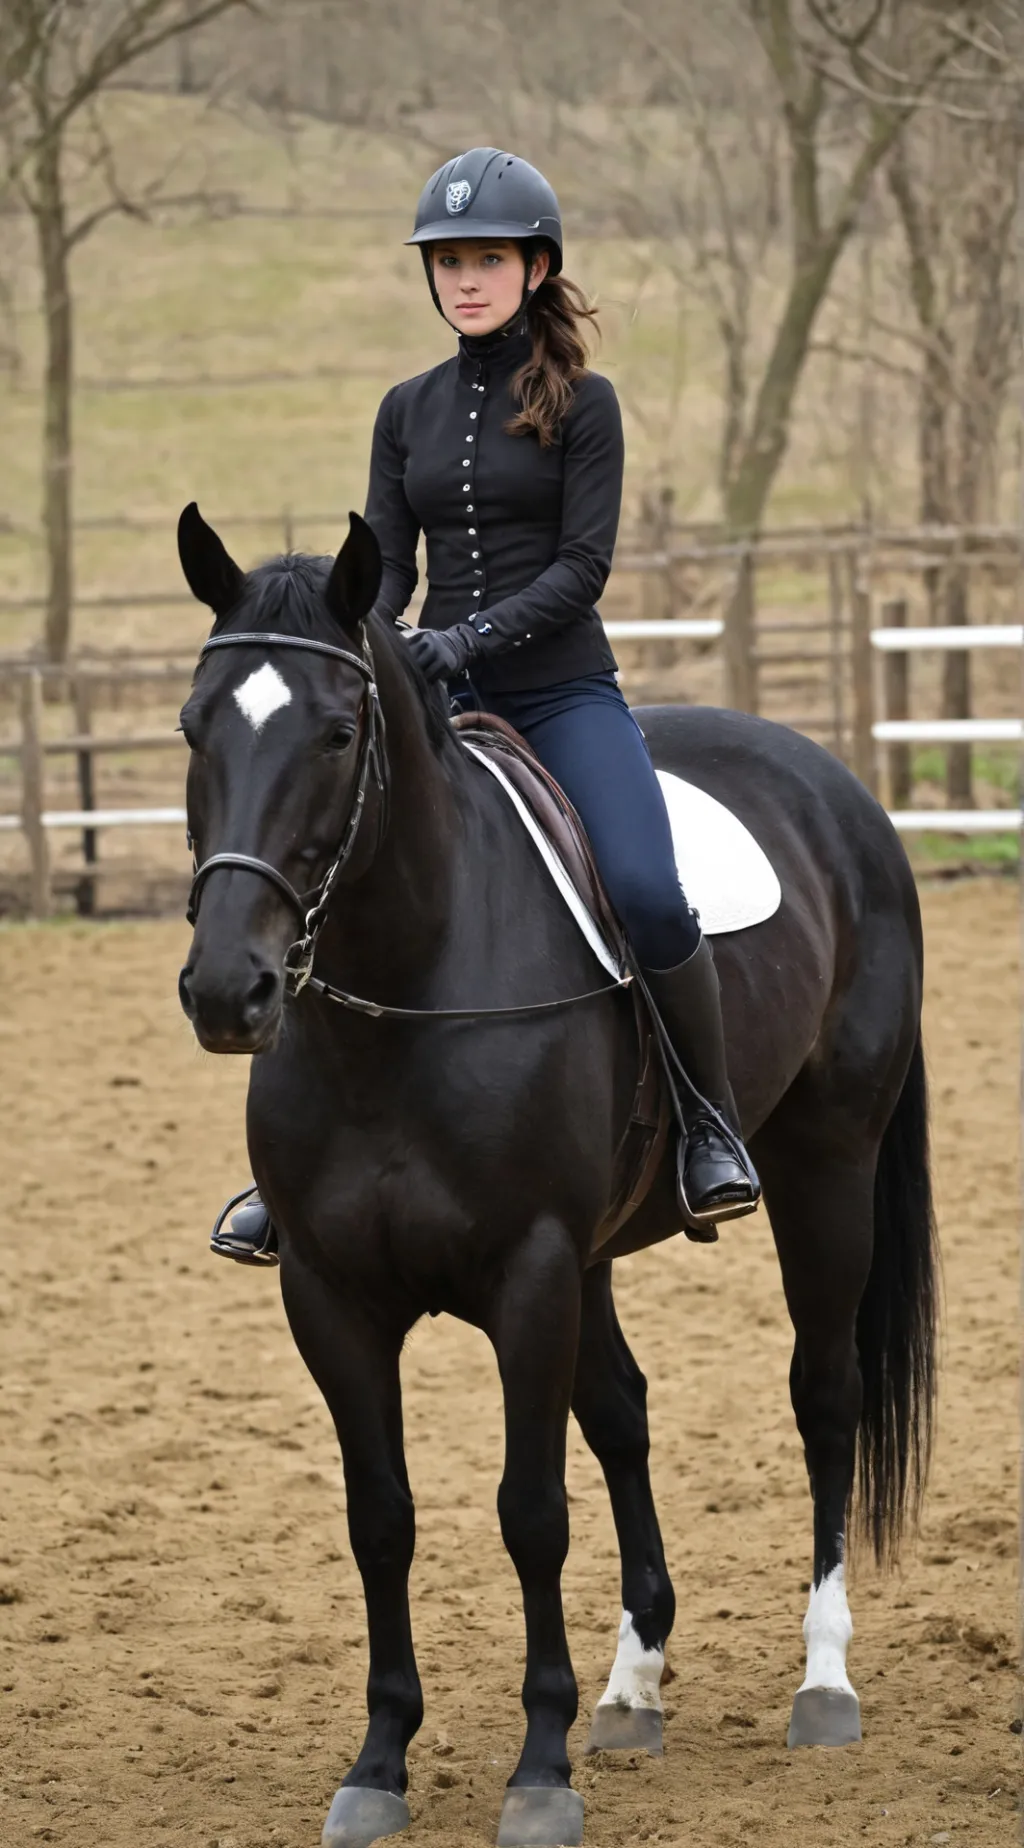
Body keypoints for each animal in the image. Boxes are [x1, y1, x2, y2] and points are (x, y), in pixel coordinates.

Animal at [176, 504, 936, 1848]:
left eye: (336, 733)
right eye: (192, 727)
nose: (229, 991)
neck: (411, 986)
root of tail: (831, 782)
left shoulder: (526, 1273)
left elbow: (529, 1510)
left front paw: (537, 1771)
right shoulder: (329, 1293)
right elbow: (382, 1516)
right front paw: (379, 1763)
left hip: (827, 1169)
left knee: (824, 1393)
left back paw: (822, 1678)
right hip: (597, 1255)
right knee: (624, 1412)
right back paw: (633, 1687)